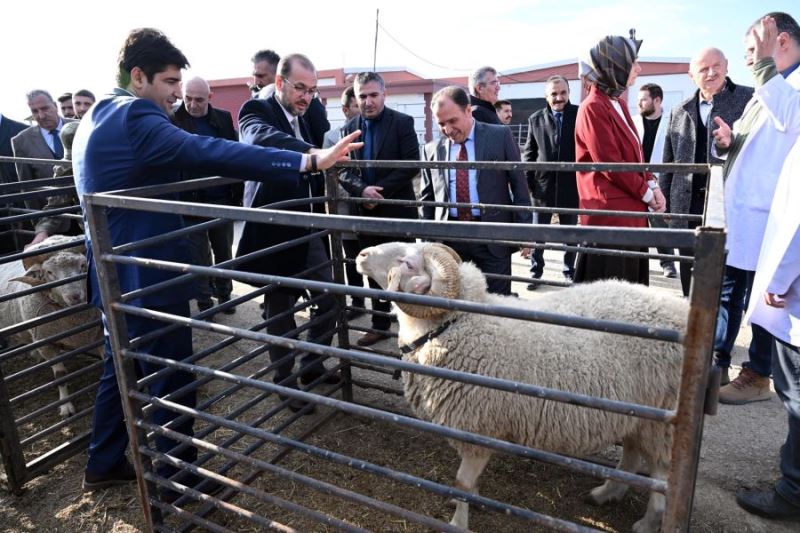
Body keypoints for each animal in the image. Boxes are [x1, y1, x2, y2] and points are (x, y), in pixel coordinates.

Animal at [0, 236, 101, 416]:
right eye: (49, 272)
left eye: (83, 265)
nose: (74, 296)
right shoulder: (46, 344)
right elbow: (60, 376)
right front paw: (66, 407)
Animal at [356, 242, 688, 532]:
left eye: (408, 264)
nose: (361, 254)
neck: (455, 325)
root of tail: (681, 312)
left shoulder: (477, 427)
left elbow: (463, 482)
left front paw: (458, 522)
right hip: (637, 417)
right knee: (631, 456)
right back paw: (606, 493)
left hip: (661, 422)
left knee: (661, 482)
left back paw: (647, 522)